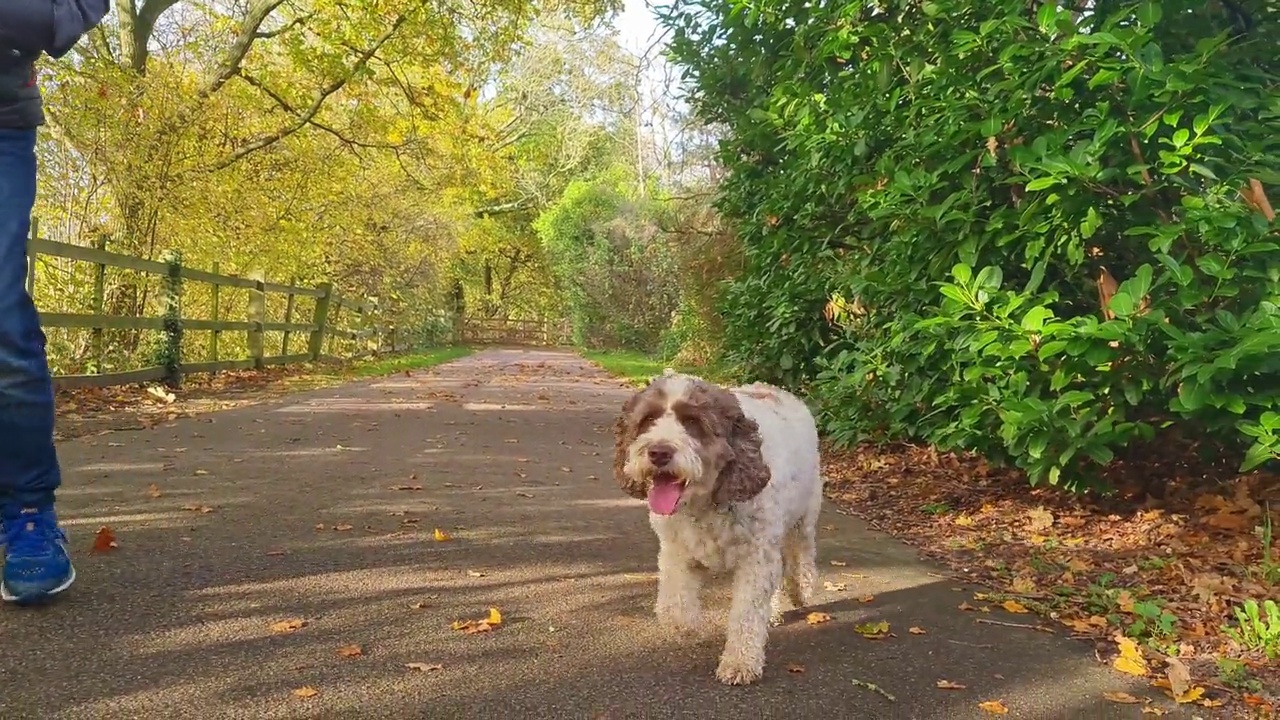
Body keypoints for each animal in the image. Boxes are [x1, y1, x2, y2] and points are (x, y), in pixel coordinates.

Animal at [614, 368, 824, 681]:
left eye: (693, 422)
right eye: (649, 419)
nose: (659, 452)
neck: (704, 504)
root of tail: (773, 388)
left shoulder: (756, 557)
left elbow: (746, 614)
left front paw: (740, 663)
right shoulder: (676, 551)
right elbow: (673, 611)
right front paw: (689, 628)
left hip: (803, 518)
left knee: (803, 557)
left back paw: (801, 589)